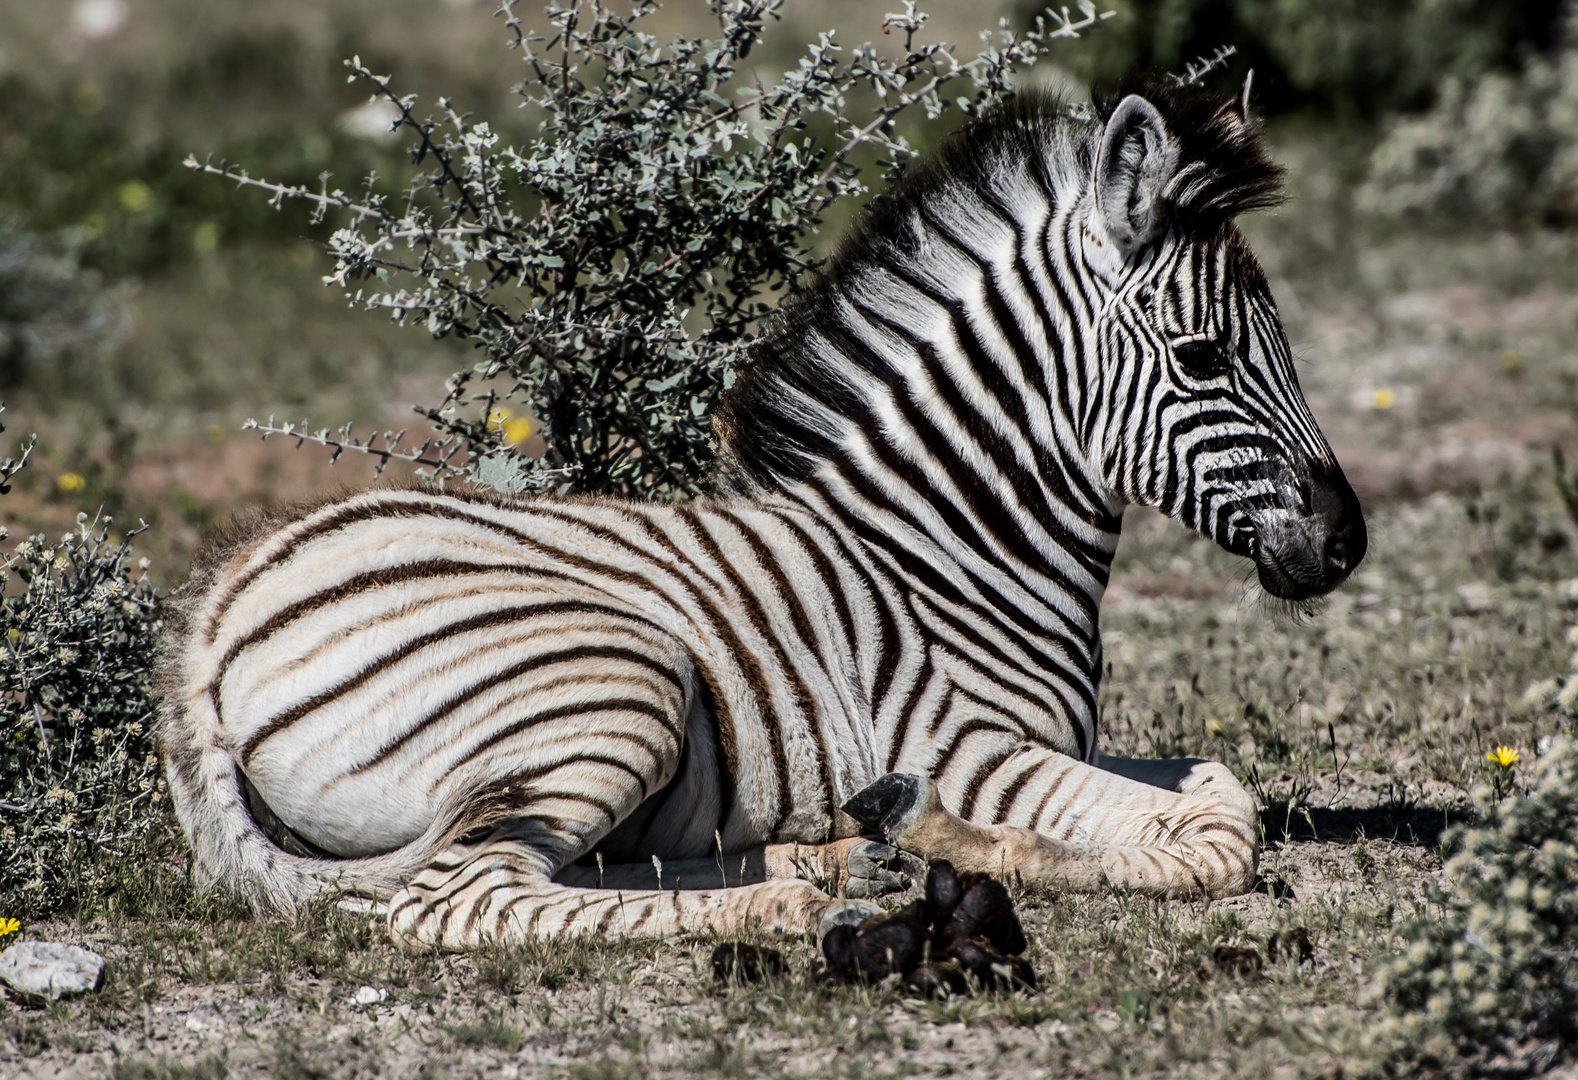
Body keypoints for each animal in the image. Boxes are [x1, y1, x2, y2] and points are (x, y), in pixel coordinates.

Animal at [159, 76, 1365, 949]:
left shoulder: (1063, 742)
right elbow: (1219, 842)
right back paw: (802, 898)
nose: (1346, 544)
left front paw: (912, 835)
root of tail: (214, 620)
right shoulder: (973, 744)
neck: (951, 545)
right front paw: (946, 832)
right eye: (1203, 359)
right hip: (613, 680)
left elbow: (1221, 795)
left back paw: (832, 858)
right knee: (458, 898)